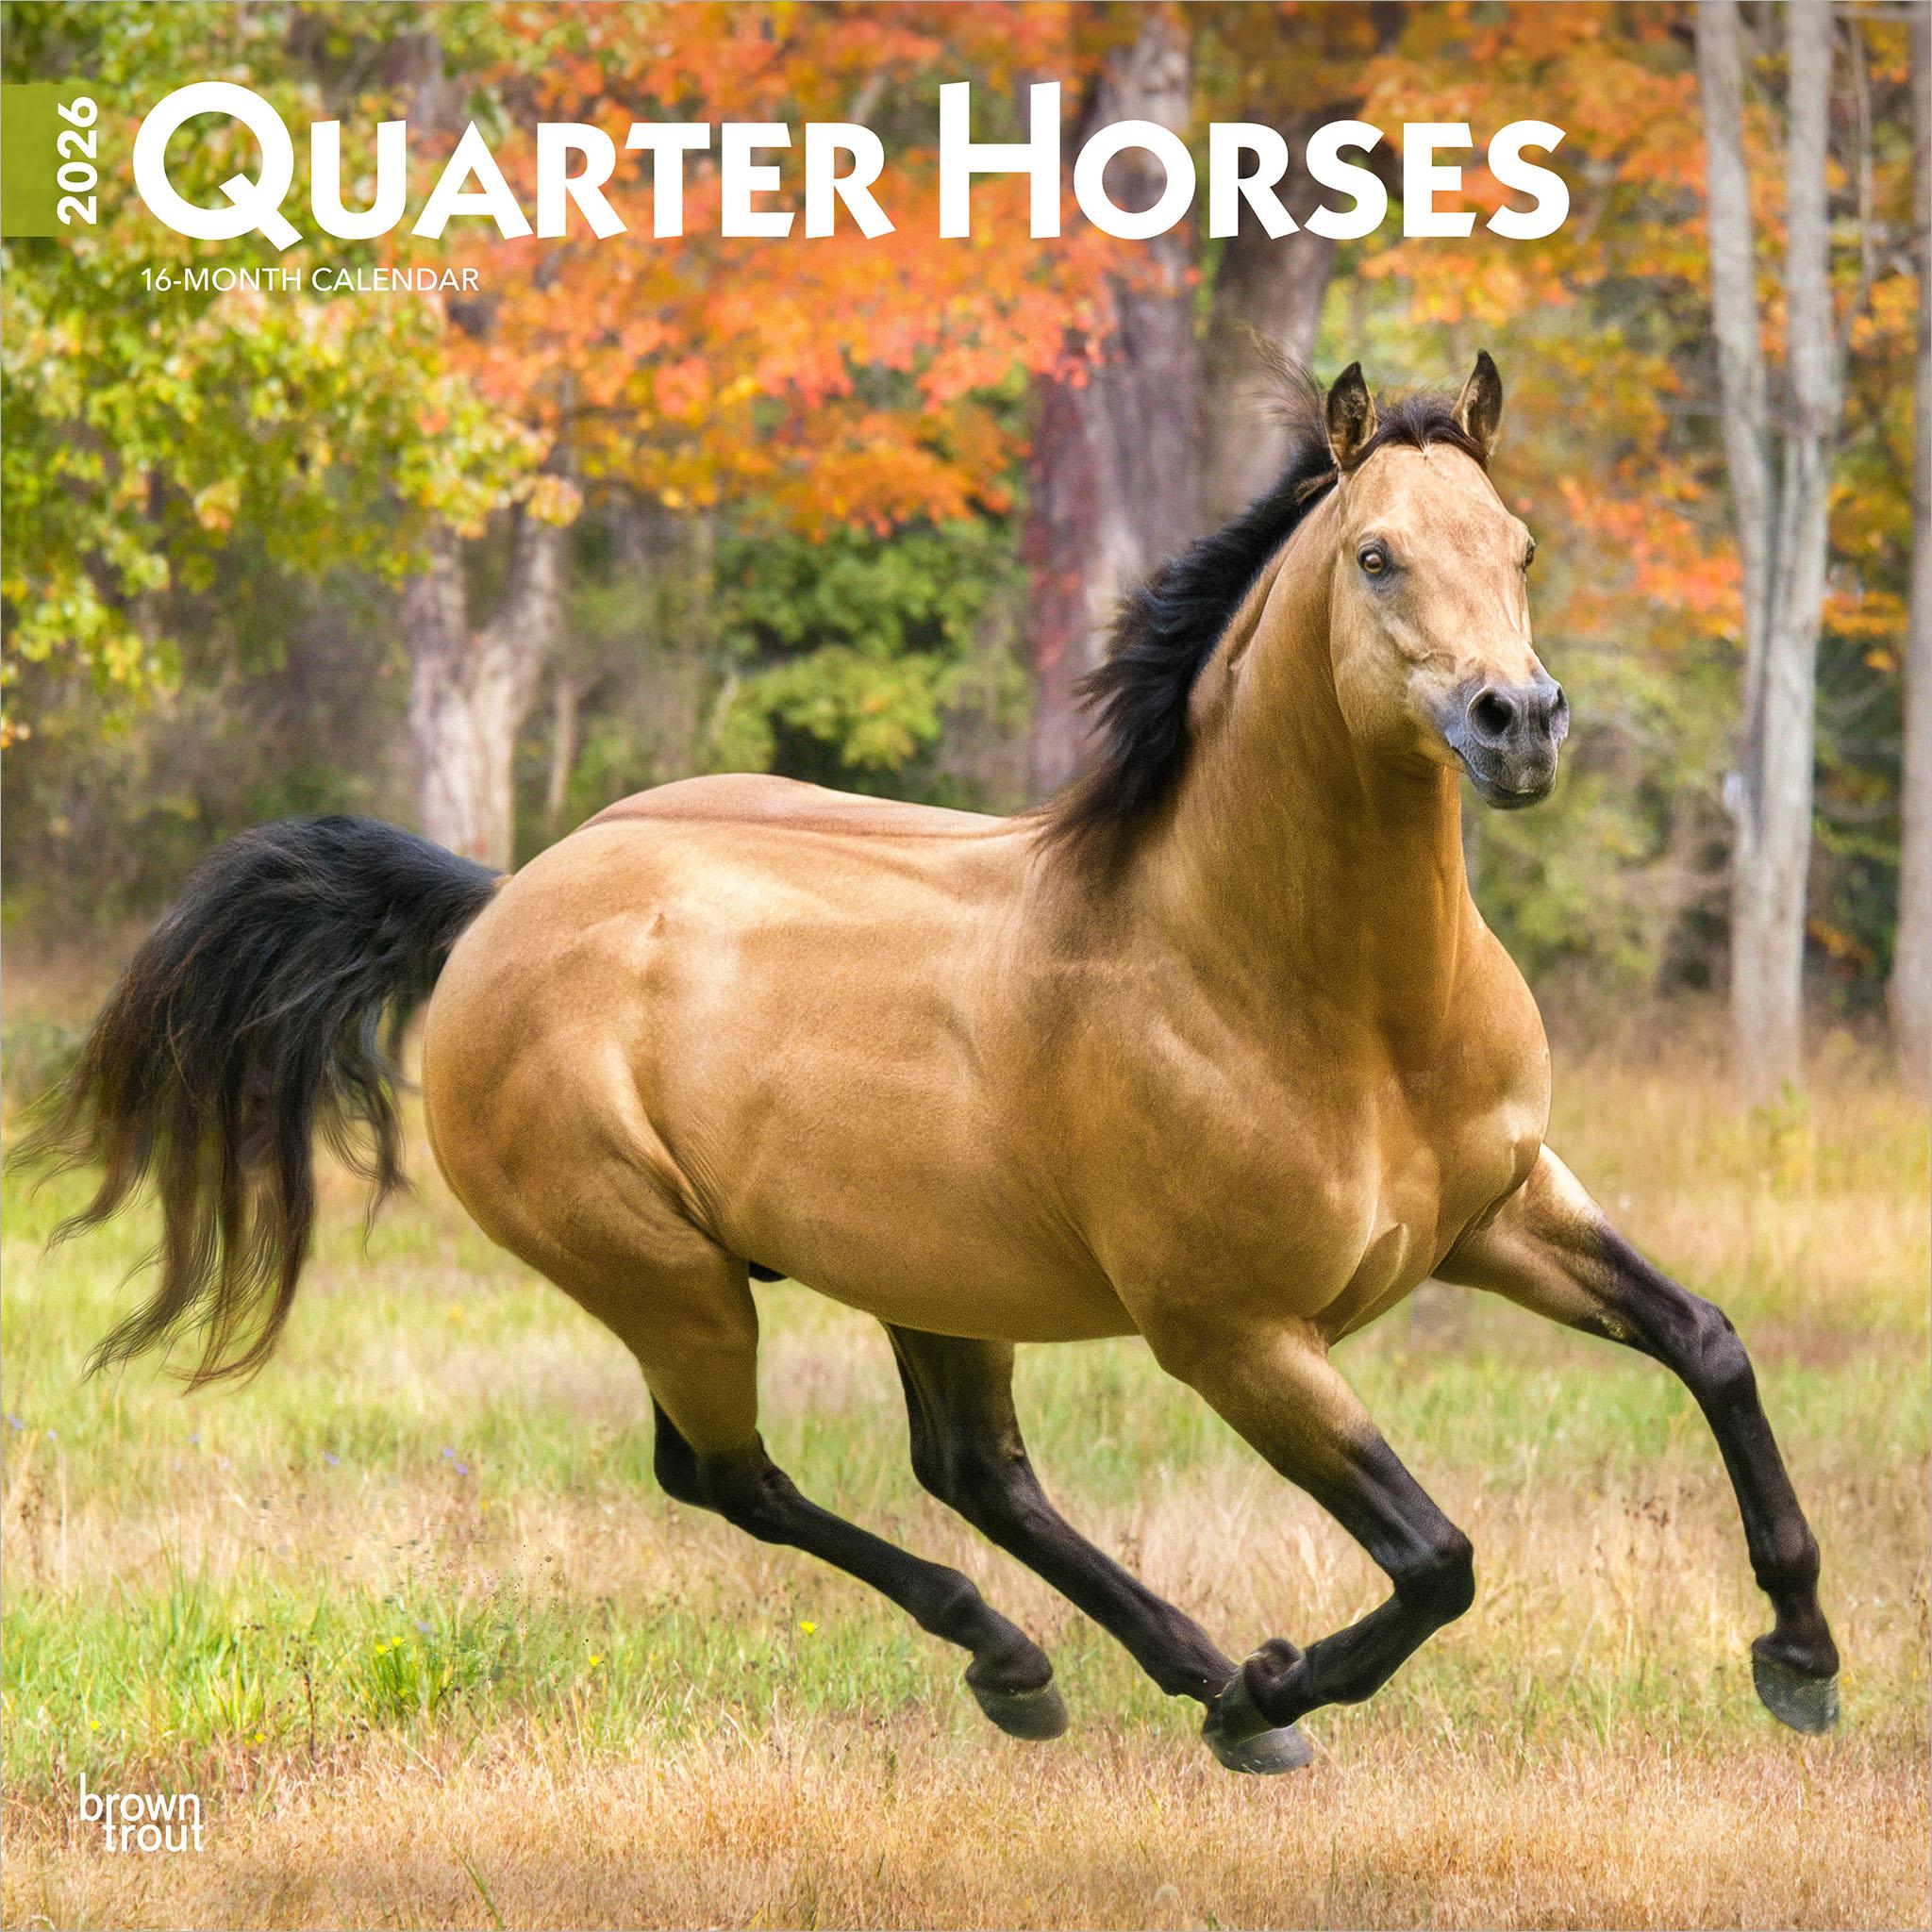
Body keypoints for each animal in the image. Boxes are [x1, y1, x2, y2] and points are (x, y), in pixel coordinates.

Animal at [22, 356, 1839, 1773]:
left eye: (1518, 544)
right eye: (1379, 554)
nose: (1515, 722)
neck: (1310, 996)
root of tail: (499, 907)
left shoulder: (1502, 1207)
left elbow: (1711, 1343)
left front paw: (1802, 1656)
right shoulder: (1237, 1336)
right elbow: (1436, 1557)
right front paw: (1278, 1683)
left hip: (928, 1275)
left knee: (969, 1470)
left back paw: (1146, 1671)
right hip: (667, 1278)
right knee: (730, 1475)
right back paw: (1064, 1669)